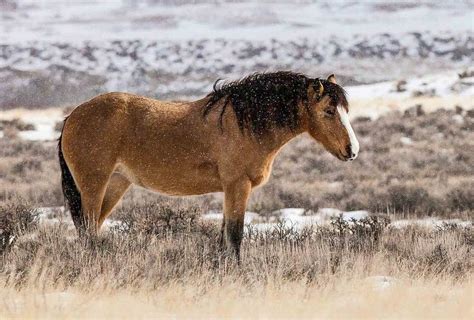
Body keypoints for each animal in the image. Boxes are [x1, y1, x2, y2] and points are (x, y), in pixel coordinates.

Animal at [57, 72, 360, 260]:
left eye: (346, 109)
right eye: (328, 111)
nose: (352, 150)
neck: (244, 123)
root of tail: (72, 116)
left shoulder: (231, 190)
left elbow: (225, 237)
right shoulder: (238, 186)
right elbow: (235, 236)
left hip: (116, 184)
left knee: (90, 229)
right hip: (94, 185)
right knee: (87, 230)